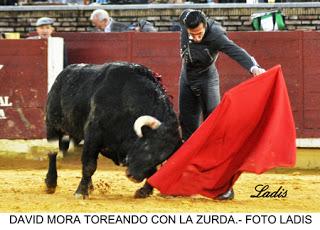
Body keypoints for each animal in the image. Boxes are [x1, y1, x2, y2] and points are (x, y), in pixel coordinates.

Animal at [44, 62, 182, 199]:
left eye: (162, 159)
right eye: (147, 146)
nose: (134, 177)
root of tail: (64, 73)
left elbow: (154, 172)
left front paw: (144, 191)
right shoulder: (93, 135)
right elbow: (89, 165)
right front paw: (81, 192)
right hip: (52, 126)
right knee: (53, 153)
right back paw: (51, 184)